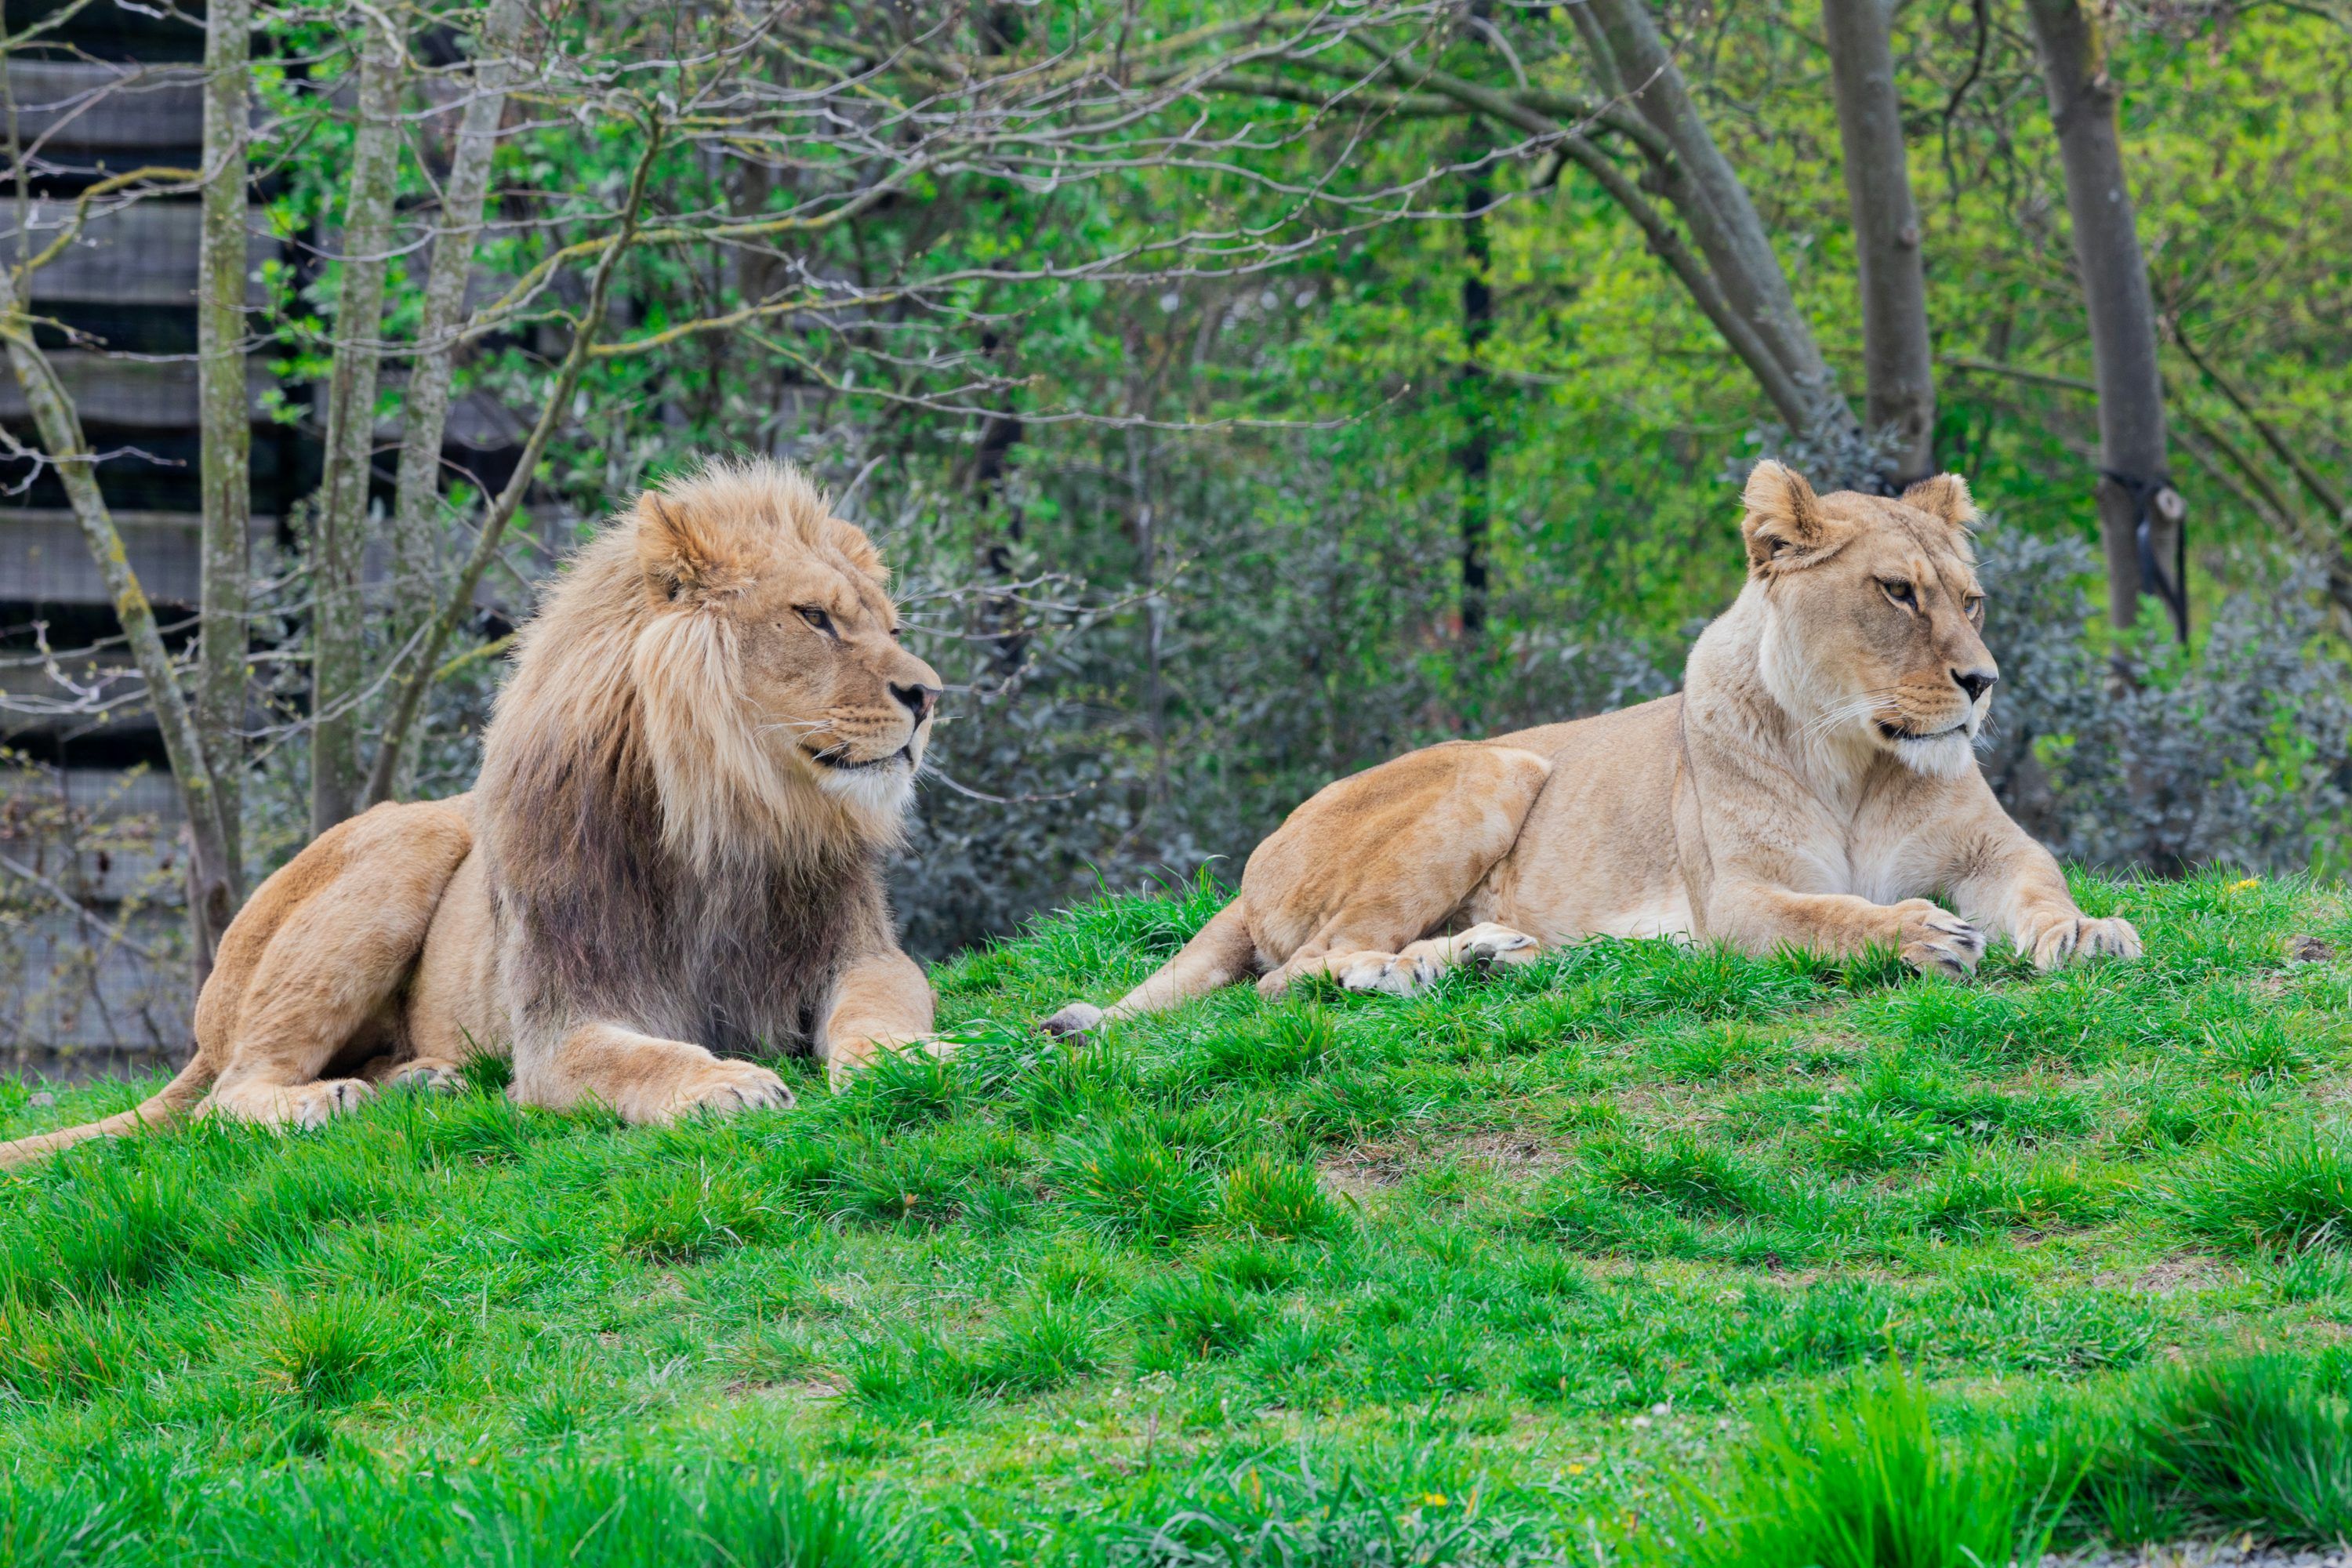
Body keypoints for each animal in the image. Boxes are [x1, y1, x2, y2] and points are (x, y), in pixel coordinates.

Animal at [2, 460, 944, 1168]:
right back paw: (325, 1101)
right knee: (223, 1100)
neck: (728, 821)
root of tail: (206, 1023)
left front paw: (912, 1061)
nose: (930, 694)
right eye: (813, 617)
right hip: (404, 843)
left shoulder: (861, 952)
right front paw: (725, 1082)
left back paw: (426, 1081)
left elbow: (878, 1012)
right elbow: (638, 1056)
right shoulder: (561, 1021)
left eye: (891, 626)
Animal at [1043, 461, 2140, 1038]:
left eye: (1972, 600)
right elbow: (1832, 915)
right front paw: (1921, 934)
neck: (1857, 758)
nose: (1983, 682)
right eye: (1898, 592)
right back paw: (1435, 966)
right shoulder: (1738, 899)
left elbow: (2040, 884)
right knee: (1302, 972)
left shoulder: (1994, 849)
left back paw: (1487, 955)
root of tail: (1251, 867)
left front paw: (2086, 934)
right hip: (1496, 763)